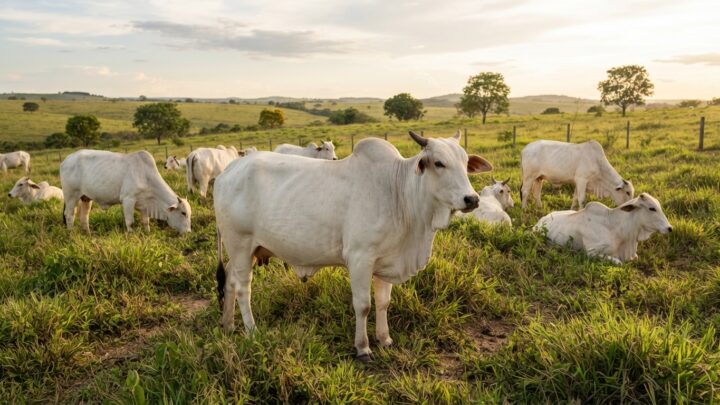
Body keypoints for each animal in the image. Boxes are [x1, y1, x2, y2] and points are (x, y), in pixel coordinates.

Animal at [60, 150, 191, 233]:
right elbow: (130, 222)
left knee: (84, 216)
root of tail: (65, 160)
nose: (188, 232)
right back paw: (71, 234)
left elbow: (146, 222)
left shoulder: (144, 204)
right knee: (69, 215)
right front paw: (131, 235)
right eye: (183, 213)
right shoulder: (128, 199)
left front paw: (147, 233)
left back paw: (88, 234)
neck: (146, 176)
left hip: (86, 198)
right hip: (71, 196)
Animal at [214, 130, 492, 361]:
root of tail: (227, 171)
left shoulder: (385, 260)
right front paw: (363, 348)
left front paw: (385, 339)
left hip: (244, 251)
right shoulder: (360, 258)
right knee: (243, 289)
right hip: (240, 244)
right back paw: (252, 330)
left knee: (230, 281)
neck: (398, 193)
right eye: (439, 163)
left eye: (465, 163)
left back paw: (228, 325)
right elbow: (363, 305)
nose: (472, 199)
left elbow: (383, 303)